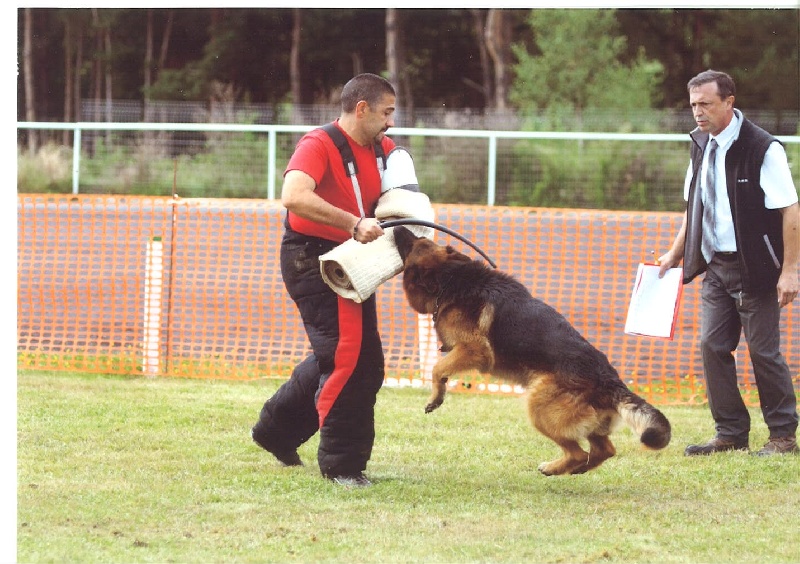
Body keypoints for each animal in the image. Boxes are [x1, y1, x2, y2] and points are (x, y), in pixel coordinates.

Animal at [392, 227, 668, 474]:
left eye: (414, 243)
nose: (397, 227)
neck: (450, 278)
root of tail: (610, 380)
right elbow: (440, 368)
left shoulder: (473, 349)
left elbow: (437, 368)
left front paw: (435, 397)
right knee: (604, 450)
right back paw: (576, 469)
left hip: (539, 408)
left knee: (579, 452)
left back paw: (554, 468)